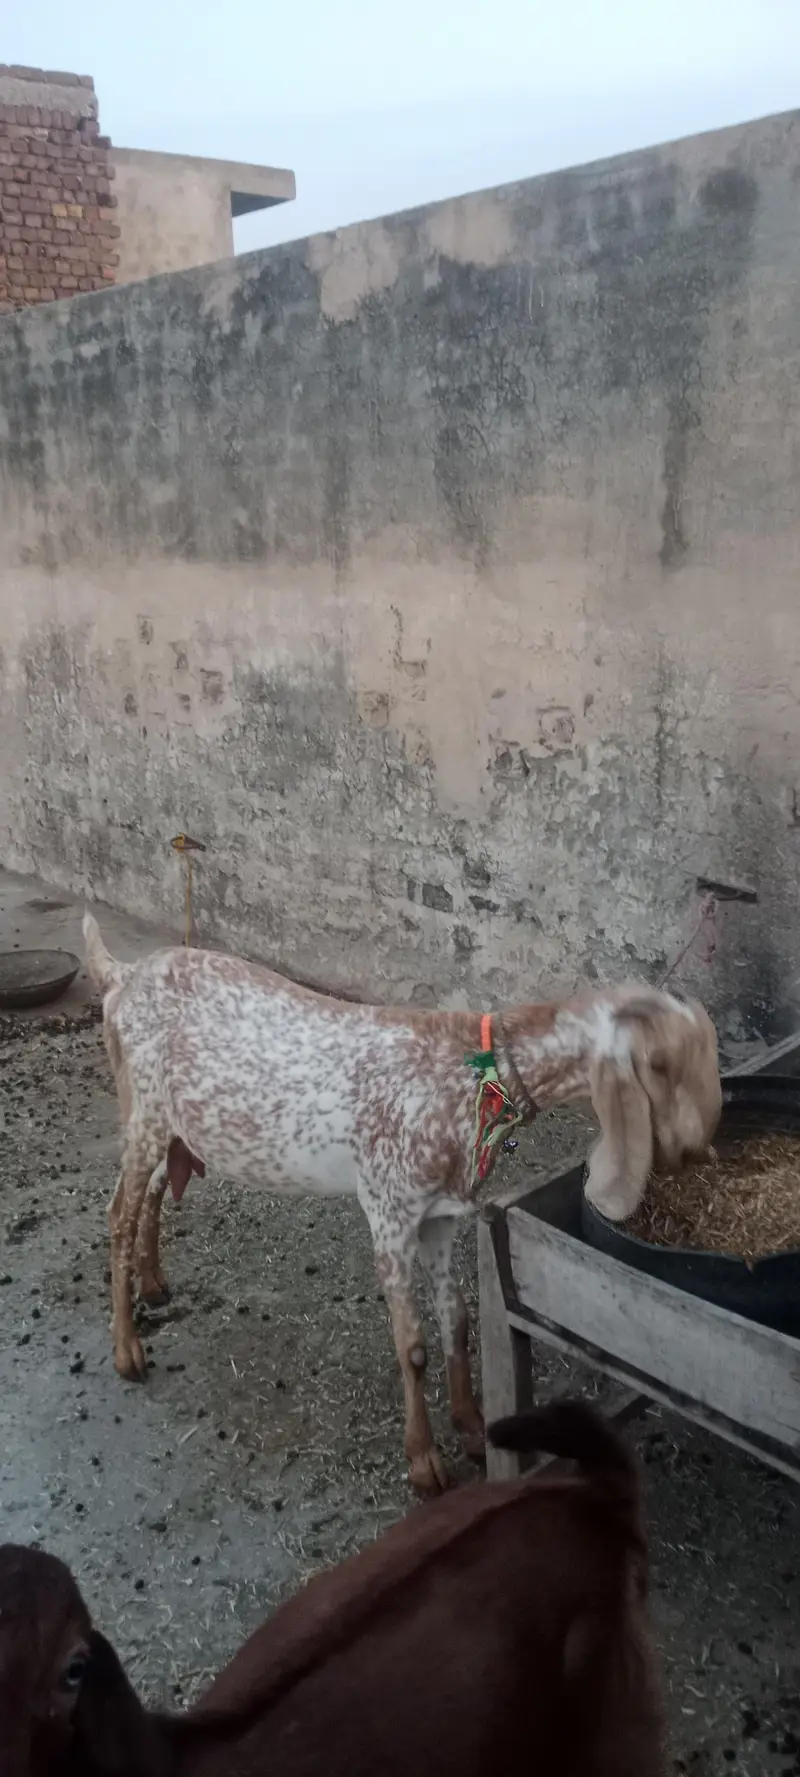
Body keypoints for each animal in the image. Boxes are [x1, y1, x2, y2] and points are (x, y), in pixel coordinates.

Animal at [84, 912, 721, 1491]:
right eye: (661, 1063)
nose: (695, 1149)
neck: (469, 1075)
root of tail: (124, 975)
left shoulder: (439, 1216)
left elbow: (456, 1319)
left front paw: (472, 1429)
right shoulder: (389, 1210)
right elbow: (412, 1344)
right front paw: (425, 1462)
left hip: (171, 1123)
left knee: (154, 1193)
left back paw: (154, 1283)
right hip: (142, 1110)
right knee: (118, 1214)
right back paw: (127, 1350)